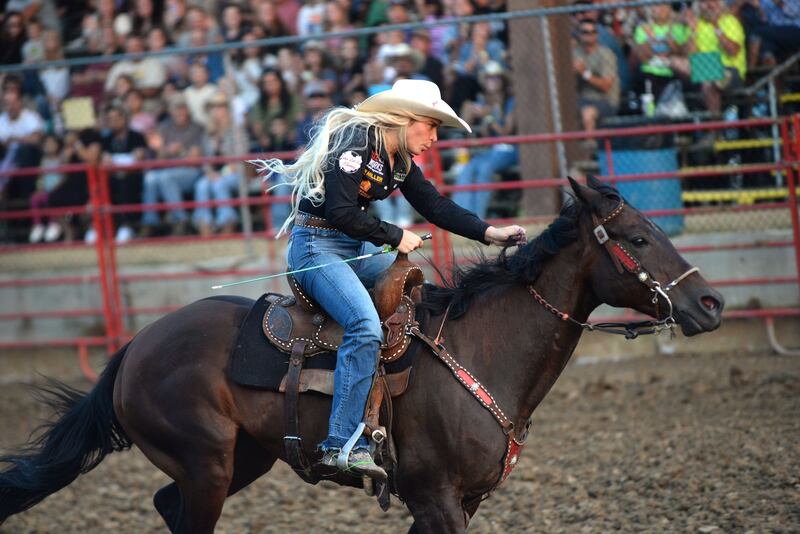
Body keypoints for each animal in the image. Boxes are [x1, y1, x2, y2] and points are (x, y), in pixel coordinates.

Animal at [0, 177, 723, 533]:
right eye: (638, 238)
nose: (711, 302)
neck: (483, 351)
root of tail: (133, 348)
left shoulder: (457, 501)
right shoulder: (437, 498)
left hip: (242, 459)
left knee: (165, 506)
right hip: (206, 465)